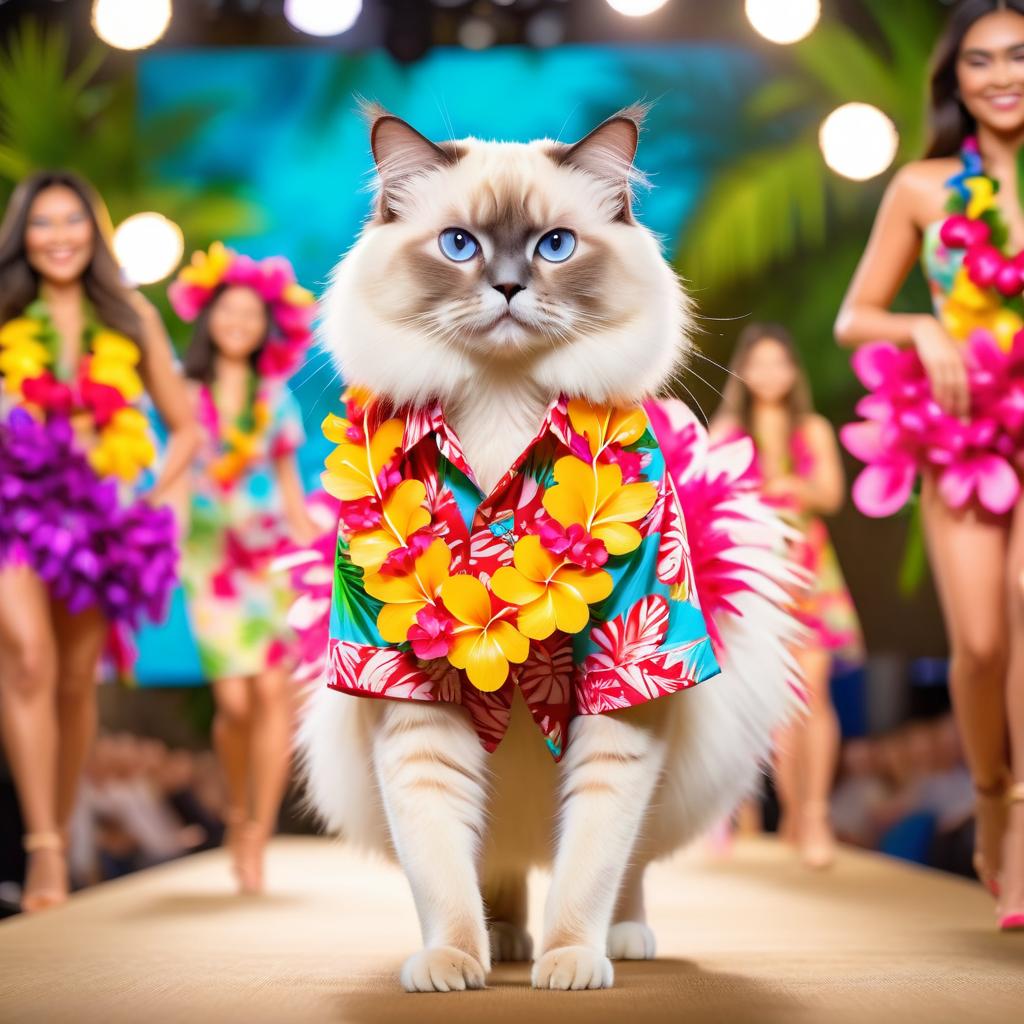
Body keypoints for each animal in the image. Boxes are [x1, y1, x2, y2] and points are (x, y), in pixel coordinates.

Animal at [299, 105, 798, 991]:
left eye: (554, 246)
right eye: (458, 245)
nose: (506, 288)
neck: (503, 410)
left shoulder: (625, 685)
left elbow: (592, 865)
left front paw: (570, 964)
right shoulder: (410, 699)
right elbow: (441, 871)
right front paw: (454, 964)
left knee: (626, 870)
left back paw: (619, 942)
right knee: (495, 866)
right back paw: (501, 943)